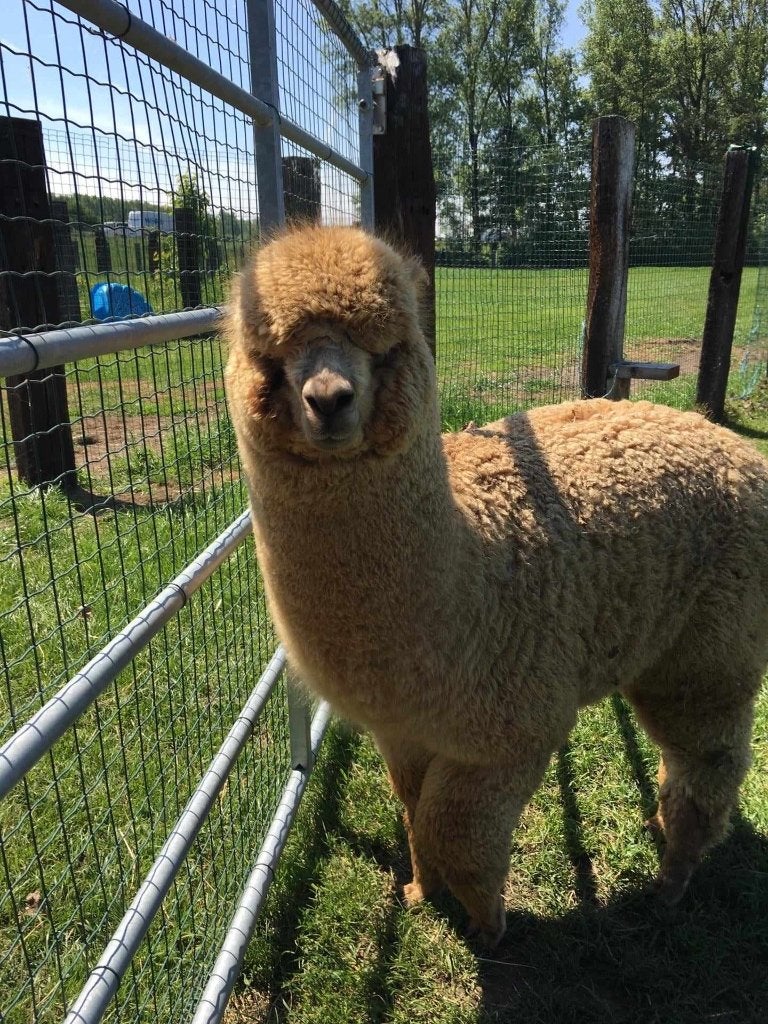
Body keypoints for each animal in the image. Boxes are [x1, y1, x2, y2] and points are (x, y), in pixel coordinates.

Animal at [225, 223, 768, 946]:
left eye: (389, 347)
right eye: (271, 351)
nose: (330, 399)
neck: (464, 583)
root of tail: (730, 442)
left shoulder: (511, 731)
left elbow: (453, 832)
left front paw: (488, 926)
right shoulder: (404, 729)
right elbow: (412, 808)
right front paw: (421, 892)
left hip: (711, 647)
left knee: (708, 761)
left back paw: (673, 879)